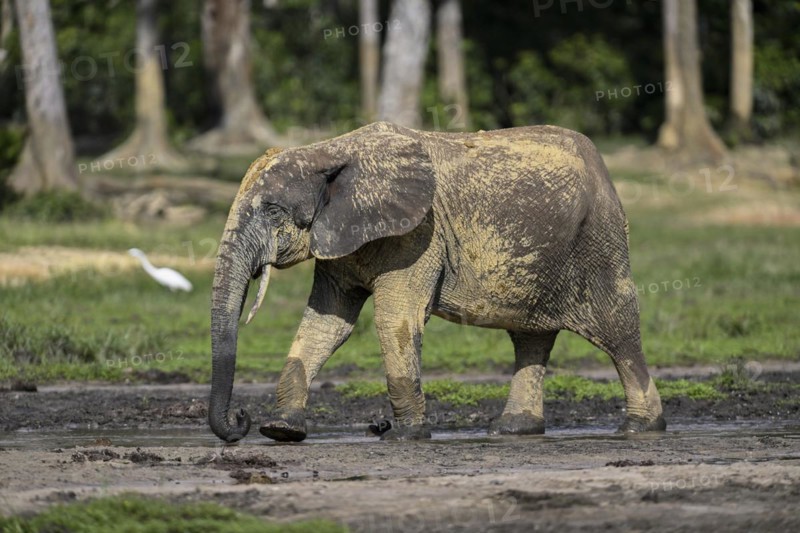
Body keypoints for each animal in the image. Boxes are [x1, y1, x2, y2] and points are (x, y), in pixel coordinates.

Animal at [208, 121, 666, 443]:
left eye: (272, 210)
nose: (241, 418)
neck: (329, 150)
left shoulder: (418, 232)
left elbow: (395, 319)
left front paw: (406, 435)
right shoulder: (341, 238)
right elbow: (327, 324)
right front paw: (282, 430)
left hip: (599, 237)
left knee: (618, 328)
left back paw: (641, 428)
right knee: (530, 337)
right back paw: (512, 429)